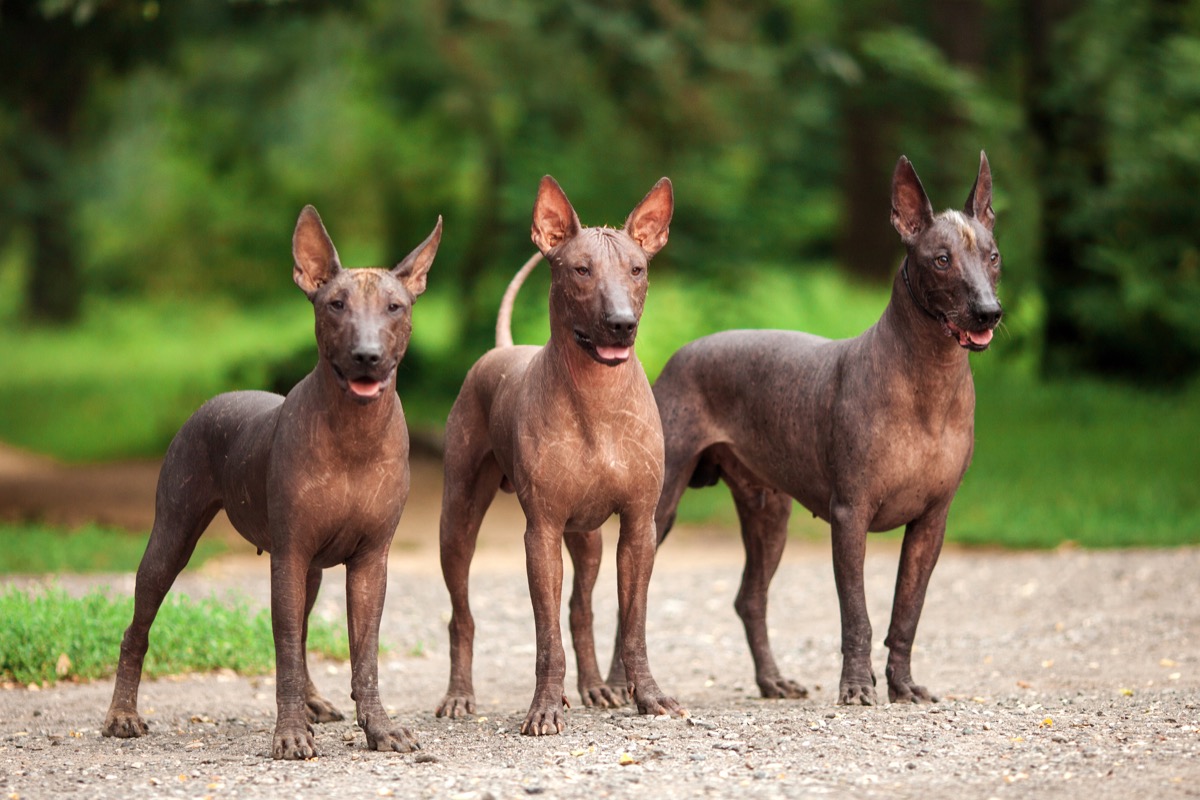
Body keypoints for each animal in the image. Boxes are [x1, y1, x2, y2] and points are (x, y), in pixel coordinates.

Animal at [102, 205, 441, 758]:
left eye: (395, 306)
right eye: (336, 304)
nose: (367, 354)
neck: (355, 432)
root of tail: (215, 400)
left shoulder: (371, 561)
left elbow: (363, 655)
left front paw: (379, 727)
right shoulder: (289, 555)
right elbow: (284, 651)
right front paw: (289, 732)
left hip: (314, 571)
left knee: (302, 636)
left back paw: (315, 701)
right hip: (172, 538)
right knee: (139, 627)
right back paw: (122, 715)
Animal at [436, 176, 691, 738]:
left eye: (637, 269)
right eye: (580, 269)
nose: (620, 323)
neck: (597, 398)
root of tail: (501, 348)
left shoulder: (639, 525)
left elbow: (631, 624)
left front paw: (648, 696)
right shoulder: (542, 533)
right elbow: (545, 637)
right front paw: (545, 707)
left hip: (588, 538)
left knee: (581, 609)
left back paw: (595, 687)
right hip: (458, 520)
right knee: (461, 614)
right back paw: (459, 696)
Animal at [580, 149, 1003, 705]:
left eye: (993, 257)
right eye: (941, 260)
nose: (989, 312)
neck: (928, 381)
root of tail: (679, 356)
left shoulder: (932, 523)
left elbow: (906, 614)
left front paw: (903, 685)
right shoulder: (850, 517)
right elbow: (857, 616)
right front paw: (857, 687)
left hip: (769, 515)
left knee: (749, 599)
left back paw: (771, 680)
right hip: (658, 508)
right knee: (632, 601)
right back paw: (617, 687)